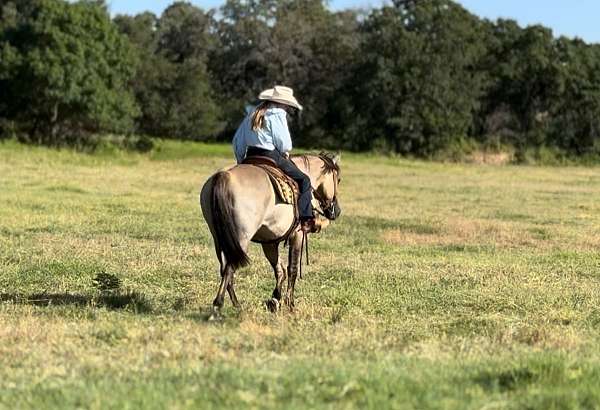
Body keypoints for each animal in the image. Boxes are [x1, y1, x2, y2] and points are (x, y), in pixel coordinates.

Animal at [202, 152, 342, 316]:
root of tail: (224, 176)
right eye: (338, 179)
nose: (337, 211)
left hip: (220, 238)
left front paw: (275, 300)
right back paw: (218, 306)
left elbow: (279, 270)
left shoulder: (269, 241)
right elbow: (292, 269)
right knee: (230, 267)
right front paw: (290, 304)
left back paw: (236, 304)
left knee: (224, 268)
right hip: (241, 238)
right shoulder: (298, 235)